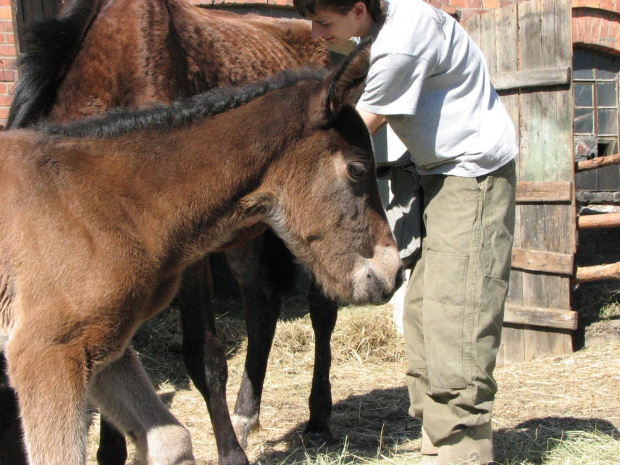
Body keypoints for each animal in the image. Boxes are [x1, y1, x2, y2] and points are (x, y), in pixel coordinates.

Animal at [0, 40, 404, 464]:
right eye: (357, 169)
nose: (393, 271)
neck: (103, 202)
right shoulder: (47, 351)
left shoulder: (103, 348)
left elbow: (172, 439)